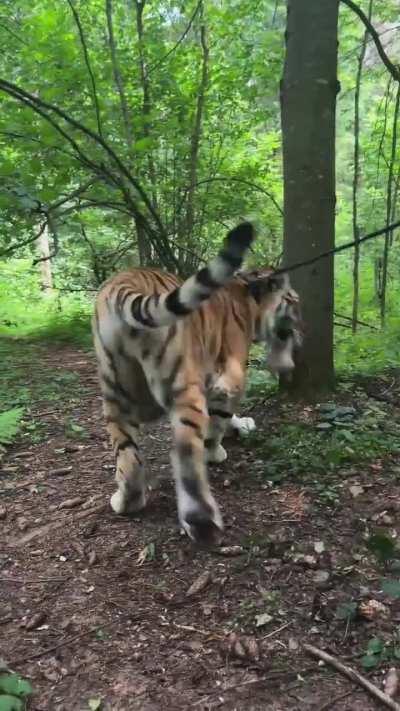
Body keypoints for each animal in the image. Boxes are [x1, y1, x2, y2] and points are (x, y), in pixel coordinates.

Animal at [92, 222, 301, 543]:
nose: (302, 325)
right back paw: (201, 520)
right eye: (292, 300)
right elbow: (219, 419)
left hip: (116, 395)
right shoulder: (230, 380)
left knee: (128, 456)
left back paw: (127, 502)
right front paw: (216, 451)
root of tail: (124, 284)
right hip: (181, 389)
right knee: (185, 454)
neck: (249, 301)